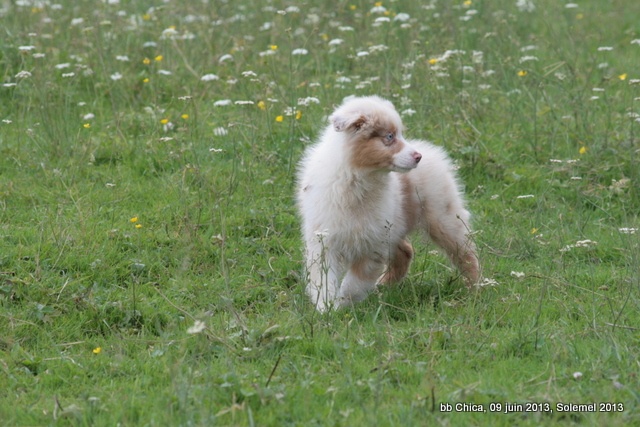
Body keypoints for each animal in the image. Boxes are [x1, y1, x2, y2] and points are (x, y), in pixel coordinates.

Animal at [296, 96, 479, 312]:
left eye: (399, 134)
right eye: (390, 136)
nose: (418, 156)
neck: (356, 179)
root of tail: (431, 151)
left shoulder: (372, 245)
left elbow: (354, 283)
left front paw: (343, 305)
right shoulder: (324, 241)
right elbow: (324, 280)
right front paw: (327, 309)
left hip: (443, 219)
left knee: (466, 254)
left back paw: (475, 290)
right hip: (396, 226)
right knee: (406, 251)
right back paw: (383, 287)